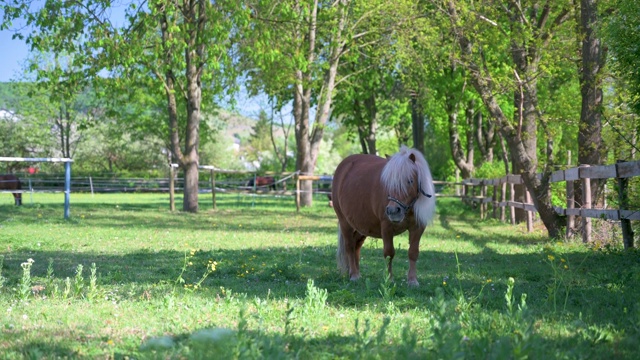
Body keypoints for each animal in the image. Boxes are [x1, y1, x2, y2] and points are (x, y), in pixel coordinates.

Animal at [330, 146, 436, 286]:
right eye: (388, 183)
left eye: (410, 181)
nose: (393, 211)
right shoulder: (386, 227)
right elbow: (389, 253)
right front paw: (389, 279)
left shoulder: (417, 228)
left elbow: (413, 253)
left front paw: (412, 280)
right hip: (345, 223)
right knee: (349, 247)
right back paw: (354, 275)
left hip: (361, 227)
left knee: (356, 246)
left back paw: (356, 273)